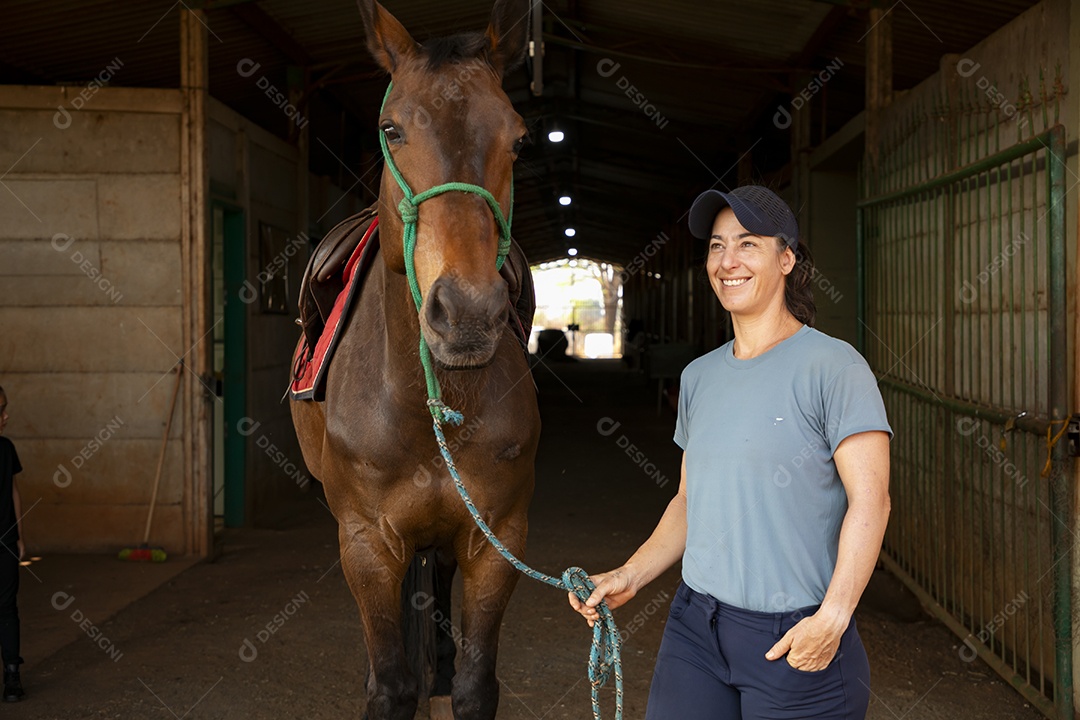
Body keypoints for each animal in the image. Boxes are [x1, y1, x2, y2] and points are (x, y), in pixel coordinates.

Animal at [291, 1, 540, 720]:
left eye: (518, 140)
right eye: (391, 129)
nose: (467, 313)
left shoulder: (497, 536)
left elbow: (476, 684)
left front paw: (450, 674)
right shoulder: (367, 542)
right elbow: (391, 685)